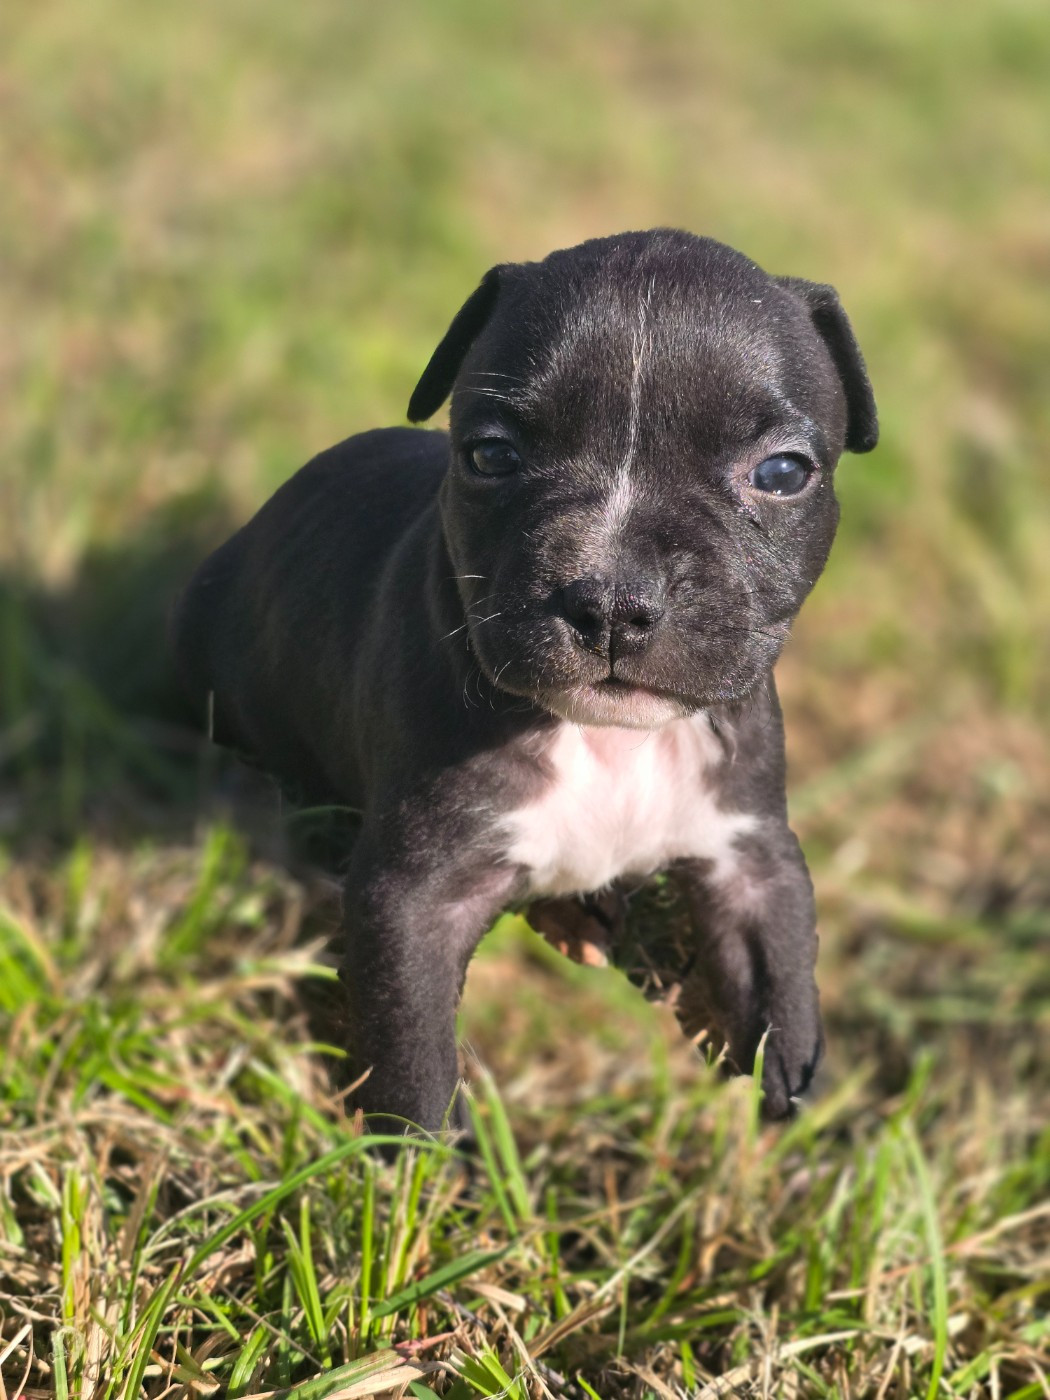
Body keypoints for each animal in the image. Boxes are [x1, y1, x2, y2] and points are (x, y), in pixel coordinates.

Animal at [172, 228, 877, 1136]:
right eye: (492, 456)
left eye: (783, 474)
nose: (612, 599)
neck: (609, 743)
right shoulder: (414, 898)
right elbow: (412, 1050)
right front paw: (419, 1162)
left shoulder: (747, 843)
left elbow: (781, 957)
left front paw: (799, 1084)